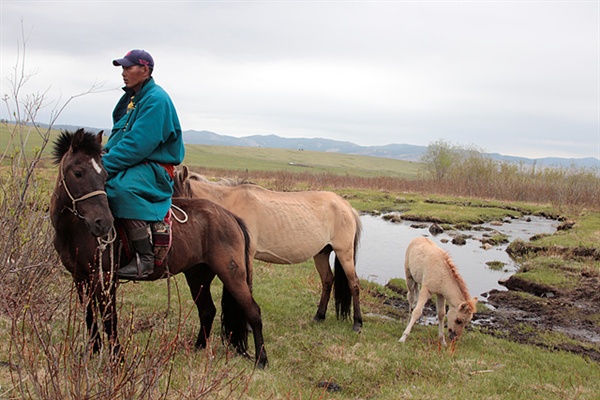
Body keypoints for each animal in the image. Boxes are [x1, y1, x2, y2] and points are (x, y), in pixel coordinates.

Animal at [50, 129, 266, 368]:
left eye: (105, 176)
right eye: (78, 172)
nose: (103, 223)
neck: (75, 231)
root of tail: (231, 217)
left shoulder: (105, 278)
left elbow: (109, 318)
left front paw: (117, 359)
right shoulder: (80, 277)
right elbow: (90, 315)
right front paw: (94, 353)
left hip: (232, 274)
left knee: (253, 312)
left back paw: (261, 359)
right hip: (198, 275)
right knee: (207, 310)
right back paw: (198, 348)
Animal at [171, 165, 364, 332]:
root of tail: (346, 206)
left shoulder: (246, 255)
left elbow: (248, 287)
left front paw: (248, 327)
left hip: (344, 252)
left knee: (353, 283)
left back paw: (357, 323)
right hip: (321, 253)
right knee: (327, 280)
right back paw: (319, 316)